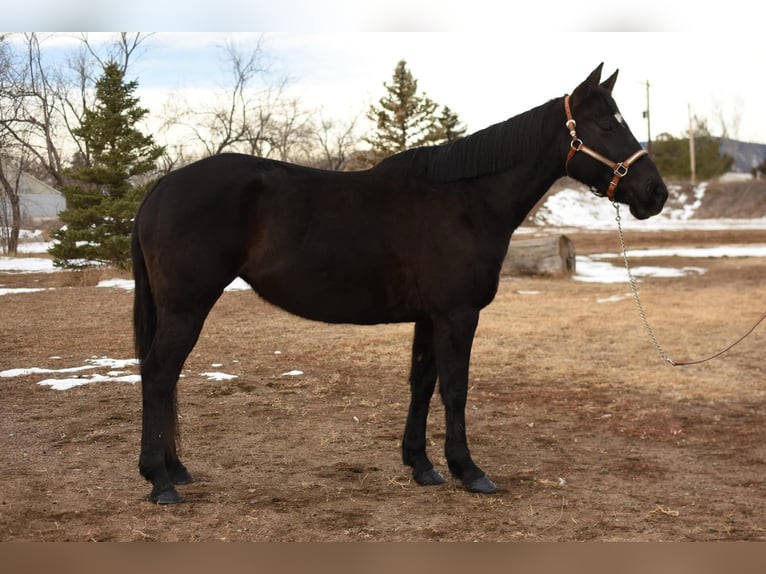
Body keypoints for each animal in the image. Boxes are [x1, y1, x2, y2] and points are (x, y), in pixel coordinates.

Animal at [135, 64, 668, 504]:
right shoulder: (457, 315)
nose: (655, 193)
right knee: (159, 374)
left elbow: (422, 383)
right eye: (608, 125)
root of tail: (160, 186)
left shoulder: (429, 317)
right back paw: (160, 481)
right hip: (187, 305)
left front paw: (422, 465)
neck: (465, 201)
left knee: (164, 376)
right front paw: (469, 471)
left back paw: (174, 470)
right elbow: (455, 388)